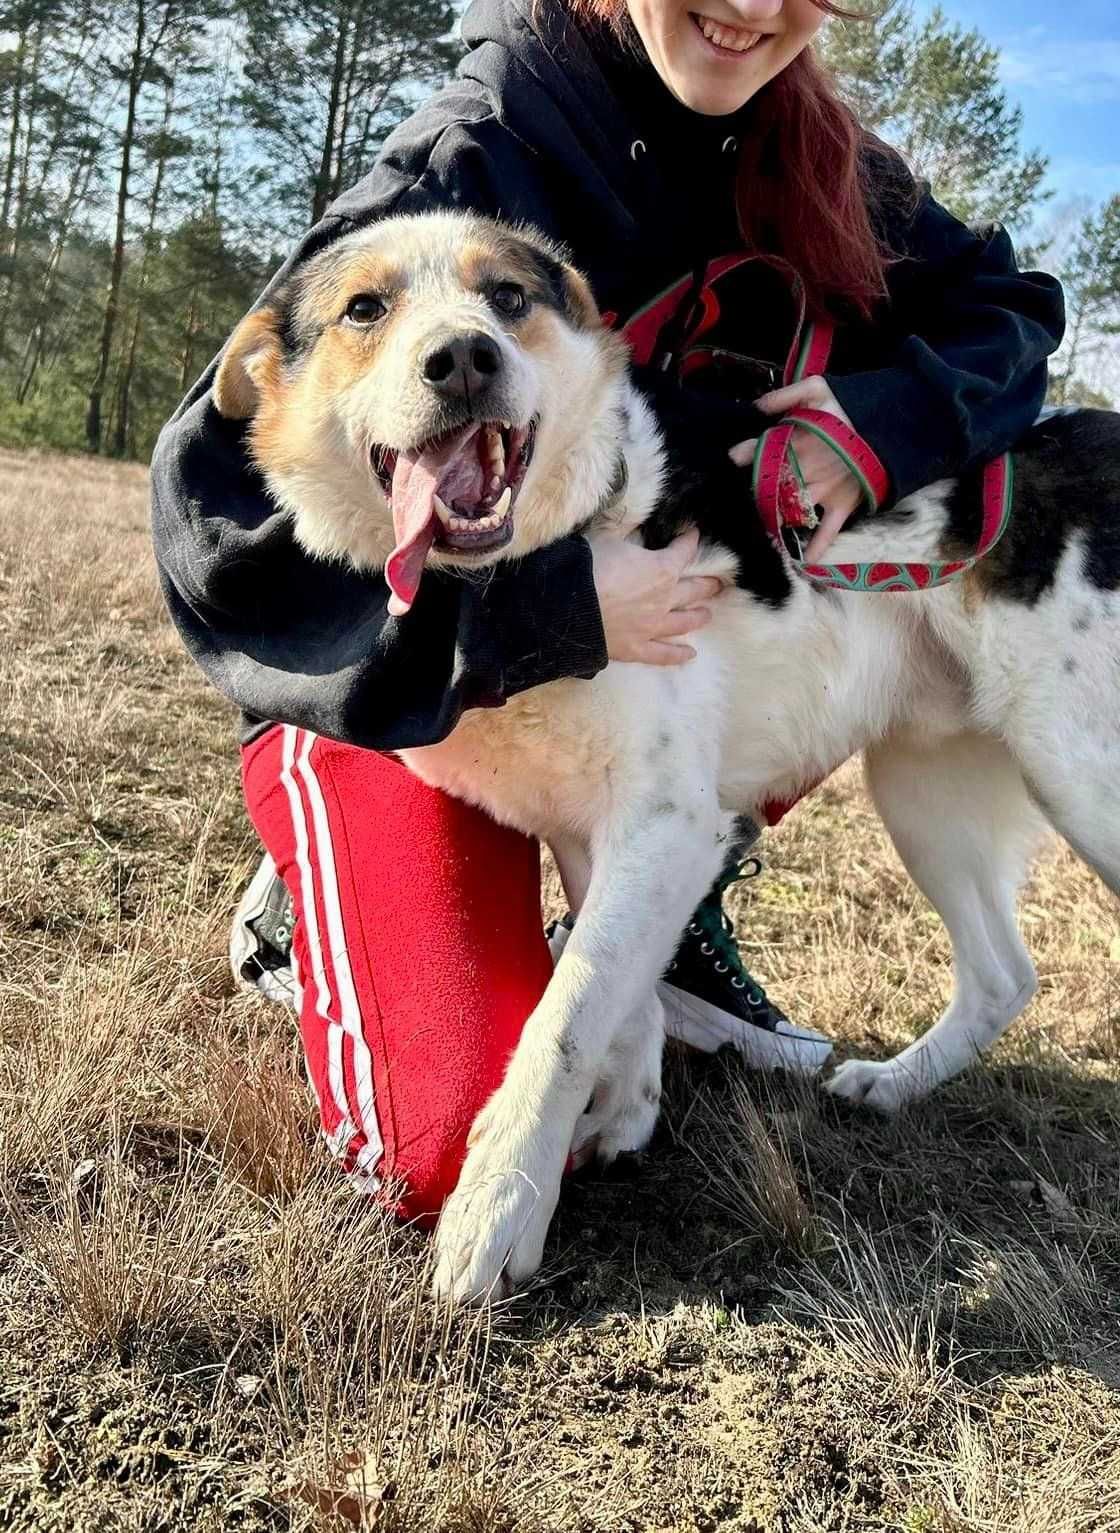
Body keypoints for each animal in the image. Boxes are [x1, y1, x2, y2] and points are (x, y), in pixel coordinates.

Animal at [214, 210, 1120, 1299]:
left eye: (508, 297)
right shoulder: (604, 830)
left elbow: (564, 1017)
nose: (465, 359)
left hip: (1081, 775)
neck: (534, 571)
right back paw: (893, 1085)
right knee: (1002, 976)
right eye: (364, 308)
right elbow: (619, 991)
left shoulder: (669, 827)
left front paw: (498, 1210)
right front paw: (629, 1111)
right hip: (922, 785)